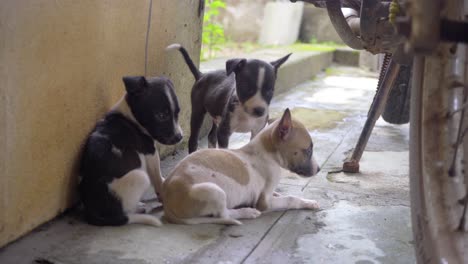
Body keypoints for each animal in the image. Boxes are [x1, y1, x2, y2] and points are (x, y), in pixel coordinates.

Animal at [78, 75, 183, 226]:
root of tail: (92, 212)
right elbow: (157, 178)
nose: (180, 137)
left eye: (177, 112)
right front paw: (163, 195)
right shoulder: (150, 153)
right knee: (127, 209)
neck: (130, 116)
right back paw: (139, 207)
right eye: (161, 115)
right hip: (140, 176)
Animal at [163, 108, 320, 225]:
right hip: (214, 191)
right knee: (224, 215)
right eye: (308, 150)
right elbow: (290, 199)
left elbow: (281, 194)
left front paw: (309, 202)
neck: (268, 153)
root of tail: (166, 203)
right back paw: (246, 212)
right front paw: (303, 202)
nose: (319, 169)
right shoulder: (264, 203)